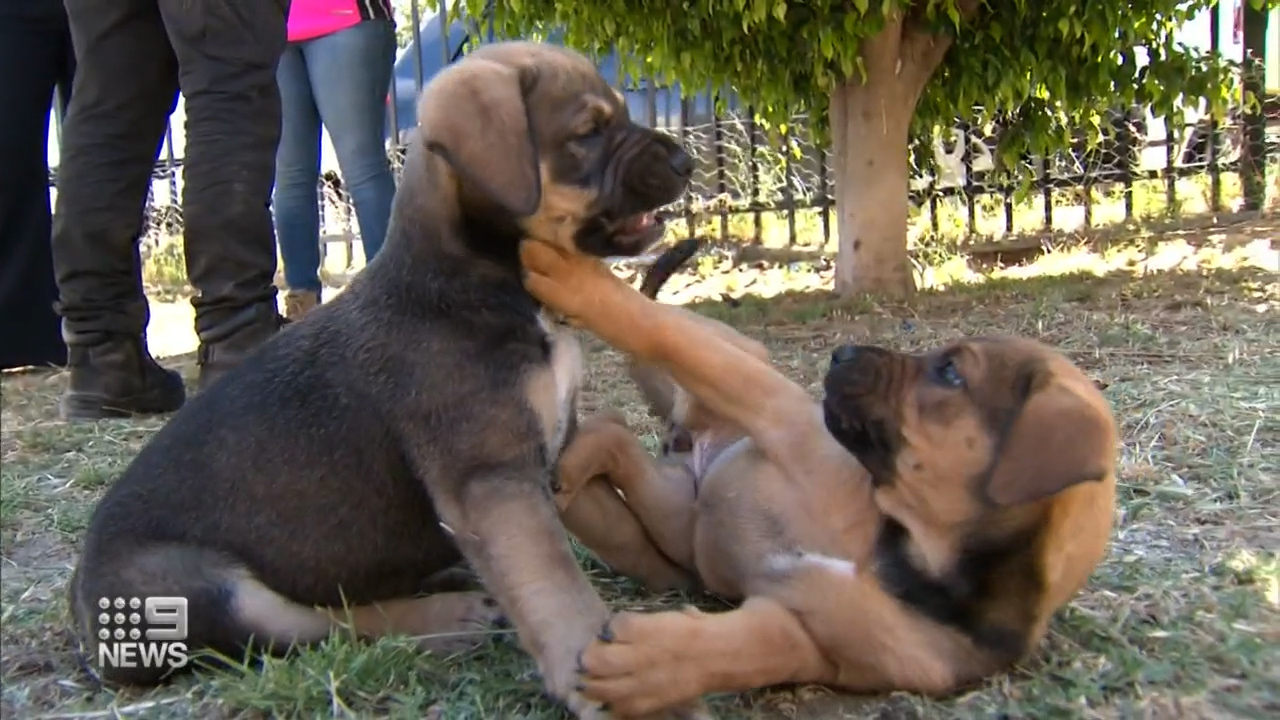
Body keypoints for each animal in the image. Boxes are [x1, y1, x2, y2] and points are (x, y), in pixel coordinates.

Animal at [67, 40, 711, 717]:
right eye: (588, 132)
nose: (686, 161)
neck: (477, 280)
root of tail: (82, 613)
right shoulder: (492, 480)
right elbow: (557, 591)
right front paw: (626, 689)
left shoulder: (555, 451)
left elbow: (608, 530)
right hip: (212, 592)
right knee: (324, 626)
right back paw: (450, 615)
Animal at [519, 238, 1121, 712]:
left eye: (951, 372)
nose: (842, 352)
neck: (911, 551)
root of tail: (690, 436)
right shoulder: (778, 413)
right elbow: (660, 331)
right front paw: (570, 276)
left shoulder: (810, 631)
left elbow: (748, 651)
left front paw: (647, 667)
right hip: (739, 369)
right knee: (668, 334)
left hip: (678, 514)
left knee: (619, 438)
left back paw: (572, 470)